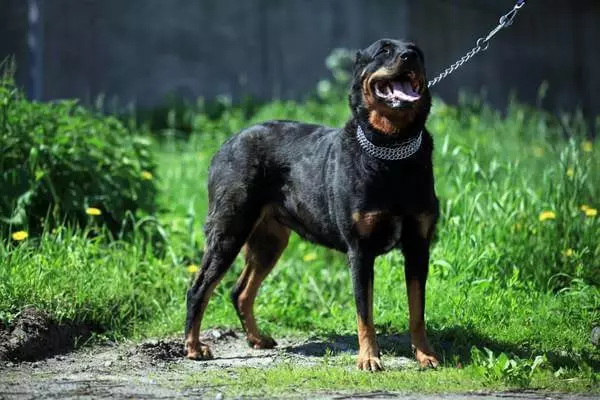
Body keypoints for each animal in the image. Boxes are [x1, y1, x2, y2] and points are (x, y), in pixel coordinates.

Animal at [185, 39, 438, 370]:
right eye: (384, 50)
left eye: (417, 52)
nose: (409, 57)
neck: (392, 151)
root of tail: (227, 143)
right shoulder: (360, 251)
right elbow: (364, 313)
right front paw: (369, 358)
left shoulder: (418, 246)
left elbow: (417, 309)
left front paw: (425, 354)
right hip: (229, 230)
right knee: (198, 288)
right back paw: (193, 347)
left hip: (269, 242)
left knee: (239, 292)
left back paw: (257, 338)